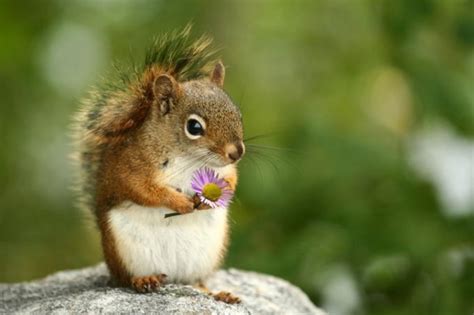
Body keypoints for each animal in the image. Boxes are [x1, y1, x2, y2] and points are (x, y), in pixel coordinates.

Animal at [74, 26, 246, 304]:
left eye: (237, 113)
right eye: (194, 127)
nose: (237, 152)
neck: (189, 158)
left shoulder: (224, 169)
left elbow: (231, 178)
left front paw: (220, 194)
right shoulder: (132, 166)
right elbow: (143, 190)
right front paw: (181, 203)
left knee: (196, 282)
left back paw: (218, 293)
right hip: (125, 252)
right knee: (126, 280)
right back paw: (144, 280)